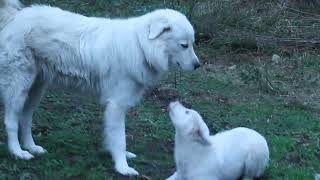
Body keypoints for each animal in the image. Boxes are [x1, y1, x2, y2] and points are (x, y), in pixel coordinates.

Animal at [0, 0, 200, 176]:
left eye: (192, 43)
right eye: (184, 45)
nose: (197, 65)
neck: (141, 46)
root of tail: (15, 17)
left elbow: (114, 137)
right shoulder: (117, 105)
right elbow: (120, 139)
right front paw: (123, 168)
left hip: (36, 89)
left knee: (25, 119)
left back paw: (32, 147)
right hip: (18, 88)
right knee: (11, 121)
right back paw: (18, 152)